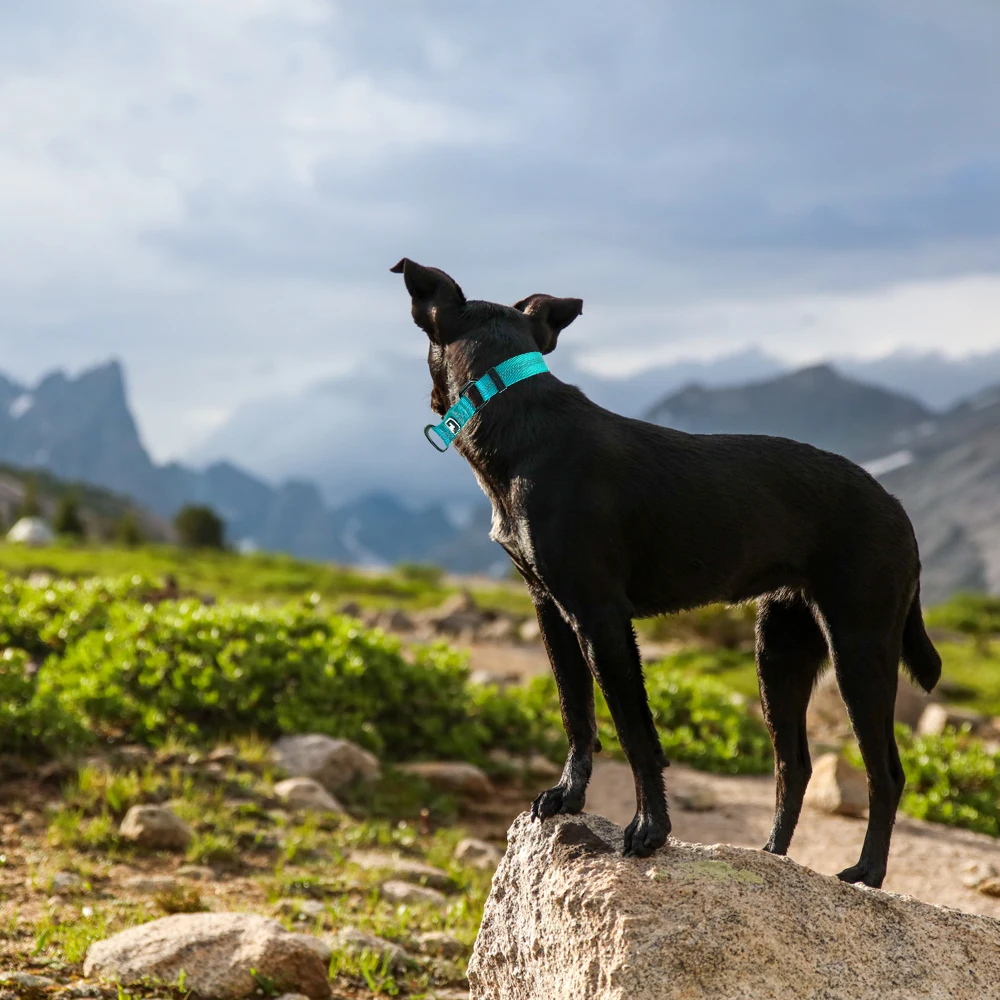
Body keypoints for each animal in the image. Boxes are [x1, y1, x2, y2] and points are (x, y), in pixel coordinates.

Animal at [392, 260, 944, 892]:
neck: (514, 412)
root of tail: (899, 511)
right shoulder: (551, 610)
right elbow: (576, 714)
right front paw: (568, 797)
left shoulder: (601, 619)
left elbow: (636, 733)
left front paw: (649, 830)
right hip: (779, 650)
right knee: (794, 766)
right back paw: (772, 858)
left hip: (859, 646)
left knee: (886, 771)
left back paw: (867, 873)